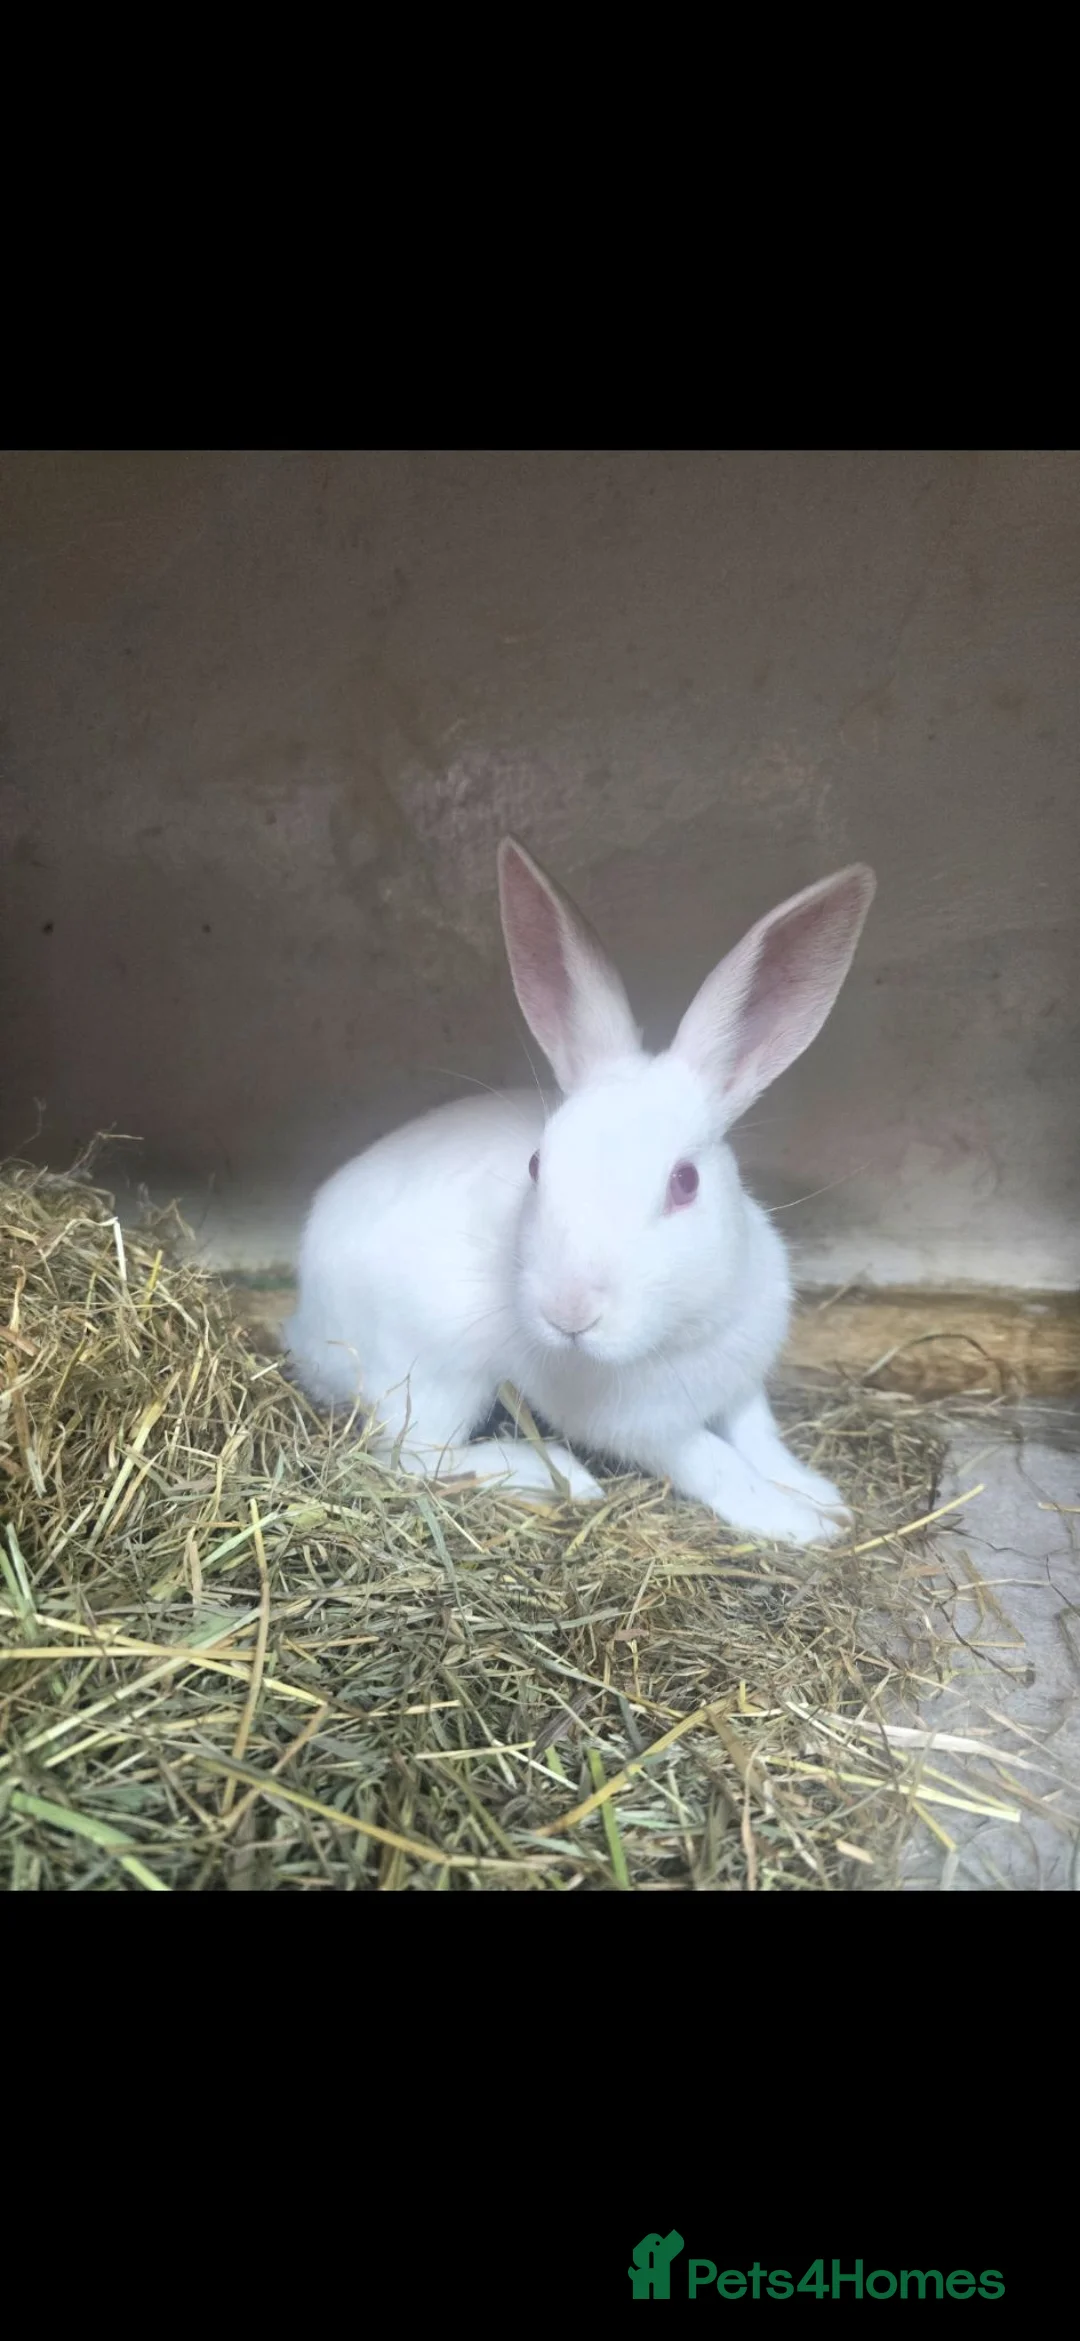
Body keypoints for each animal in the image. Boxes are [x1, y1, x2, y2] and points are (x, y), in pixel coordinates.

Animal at [284, 836, 875, 1546]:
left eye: (685, 1183)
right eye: (538, 1165)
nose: (569, 1314)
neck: (679, 1330)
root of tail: (305, 1327)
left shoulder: (742, 1387)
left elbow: (759, 1438)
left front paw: (823, 1498)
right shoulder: (651, 1428)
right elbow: (715, 1461)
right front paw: (798, 1523)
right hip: (433, 1369)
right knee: (415, 1457)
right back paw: (555, 1476)